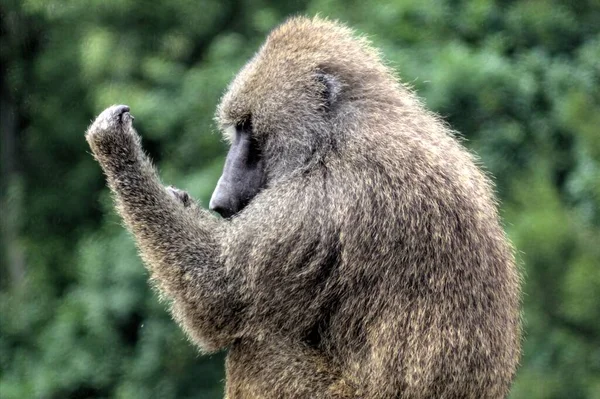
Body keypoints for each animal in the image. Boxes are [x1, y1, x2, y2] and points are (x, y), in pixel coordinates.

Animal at [85, 16, 520, 399]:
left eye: (248, 128)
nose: (220, 202)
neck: (342, 131)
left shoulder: (318, 205)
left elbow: (218, 298)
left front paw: (115, 146)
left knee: (256, 346)